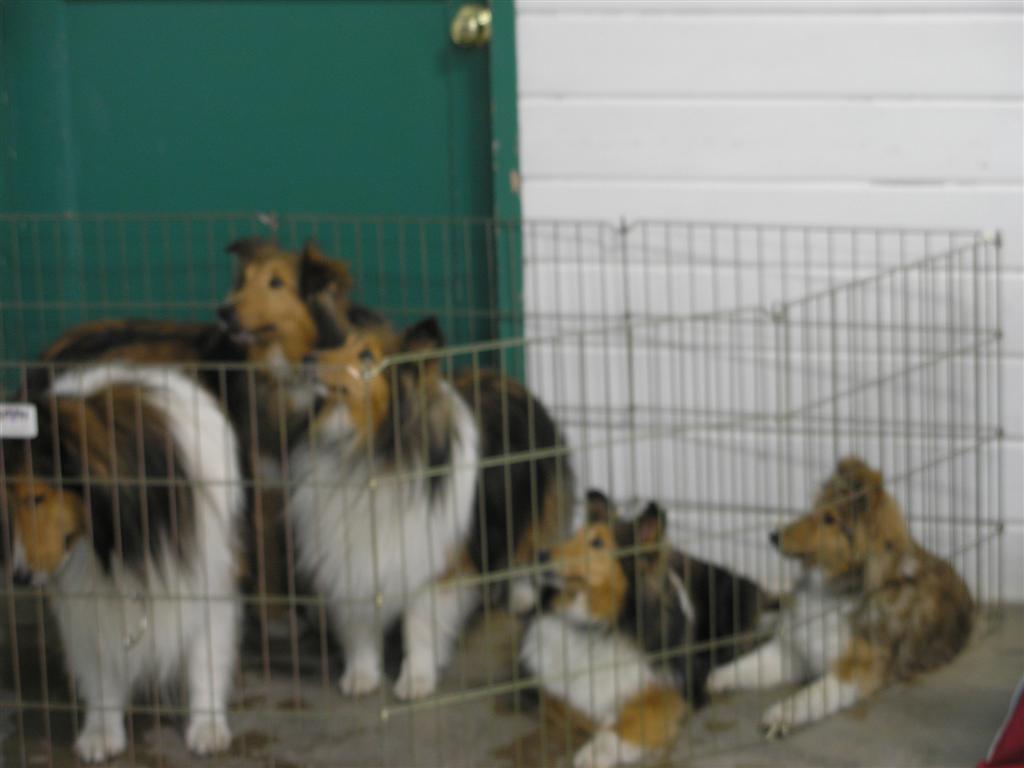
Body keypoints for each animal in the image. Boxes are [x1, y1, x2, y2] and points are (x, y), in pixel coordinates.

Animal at [4, 364, 244, 765]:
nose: (19, 577)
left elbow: (205, 659)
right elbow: (99, 668)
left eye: (36, 498)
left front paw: (207, 727)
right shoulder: (87, 599)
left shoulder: (207, 578)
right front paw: (101, 732)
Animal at [520, 493, 770, 768]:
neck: (596, 625)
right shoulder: (547, 691)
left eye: (597, 542)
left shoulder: (673, 689)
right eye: (572, 536)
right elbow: (575, 711)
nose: (540, 556)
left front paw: (599, 749)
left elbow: (636, 719)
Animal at [708, 456, 970, 741]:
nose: (773, 536)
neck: (828, 589)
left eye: (829, 519)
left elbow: (808, 695)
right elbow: (748, 664)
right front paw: (715, 678)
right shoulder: (792, 652)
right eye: (814, 508)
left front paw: (780, 715)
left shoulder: (853, 671)